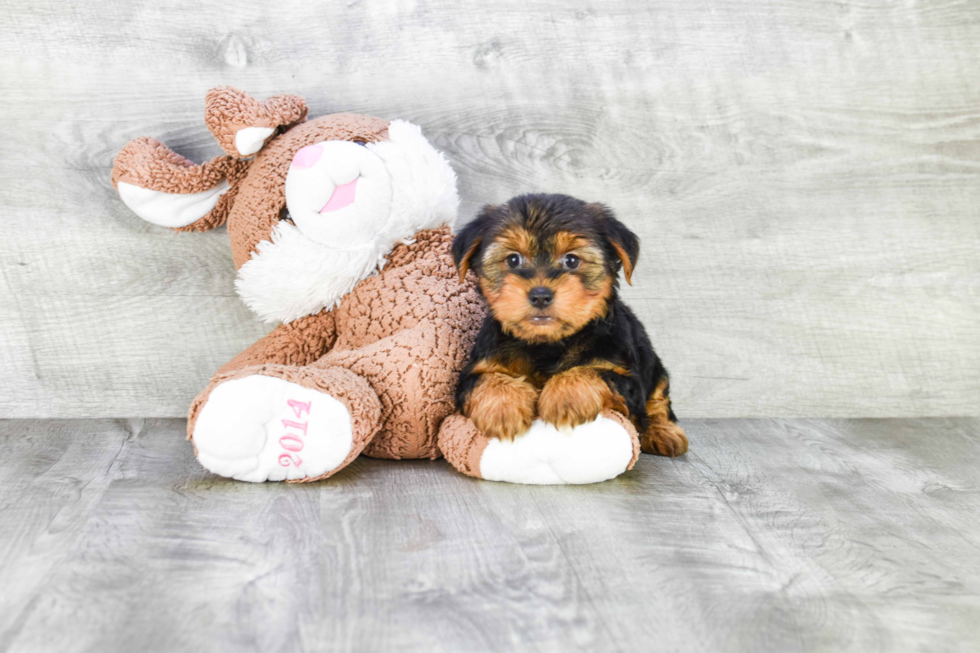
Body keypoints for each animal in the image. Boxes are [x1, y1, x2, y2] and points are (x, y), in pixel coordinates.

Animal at [454, 192, 688, 458]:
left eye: (572, 260)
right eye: (513, 260)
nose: (541, 295)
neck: (548, 344)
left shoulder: (627, 380)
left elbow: (593, 372)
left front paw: (563, 398)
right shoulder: (475, 370)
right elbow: (485, 379)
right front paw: (504, 409)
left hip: (653, 365)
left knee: (659, 399)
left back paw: (663, 432)